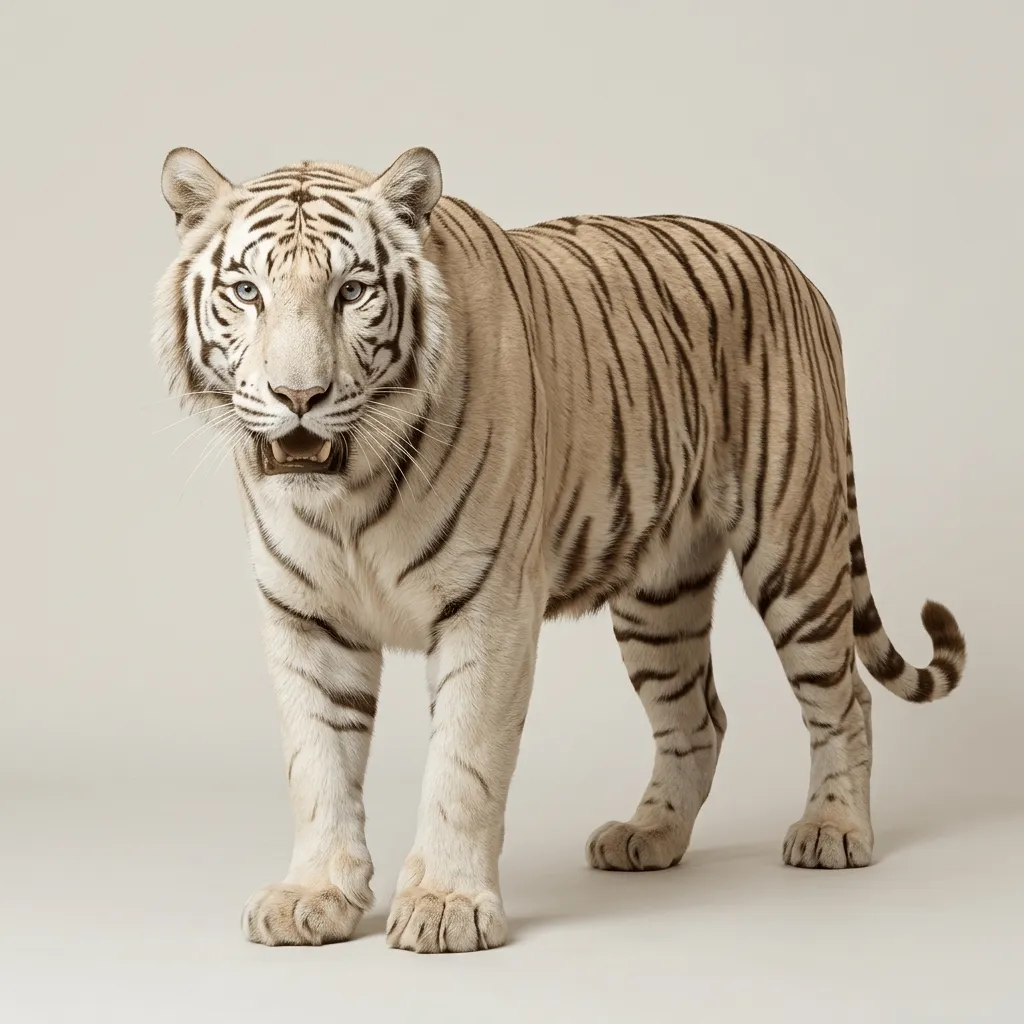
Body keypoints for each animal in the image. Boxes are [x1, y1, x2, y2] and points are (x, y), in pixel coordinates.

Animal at [153, 144, 967, 954]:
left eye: (352, 291)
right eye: (247, 292)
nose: (299, 397)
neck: (348, 494)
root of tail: (797, 272)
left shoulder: (489, 608)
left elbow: (463, 763)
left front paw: (446, 905)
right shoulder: (306, 617)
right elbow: (317, 763)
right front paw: (313, 895)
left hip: (795, 548)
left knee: (844, 696)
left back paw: (834, 829)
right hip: (659, 598)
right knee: (698, 718)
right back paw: (649, 837)